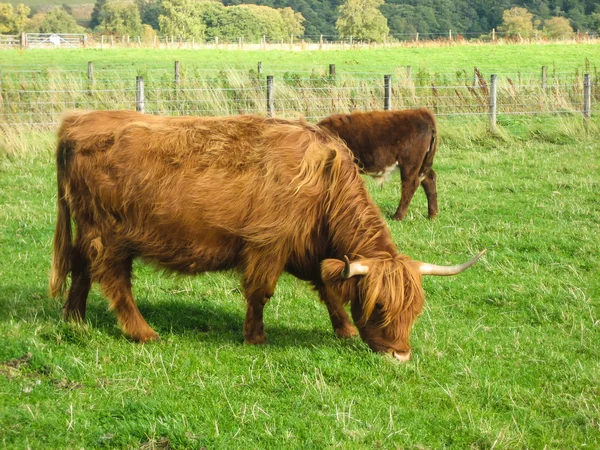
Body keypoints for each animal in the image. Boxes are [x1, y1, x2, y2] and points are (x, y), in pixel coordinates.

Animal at [49, 110, 486, 360]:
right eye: (379, 307)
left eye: (415, 310)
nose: (400, 356)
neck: (324, 181)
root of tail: (77, 122)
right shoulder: (267, 245)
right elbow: (261, 292)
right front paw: (256, 337)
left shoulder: (314, 251)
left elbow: (330, 289)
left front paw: (344, 330)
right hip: (110, 234)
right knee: (112, 278)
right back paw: (143, 333)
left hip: (87, 228)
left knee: (80, 266)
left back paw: (75, 320)